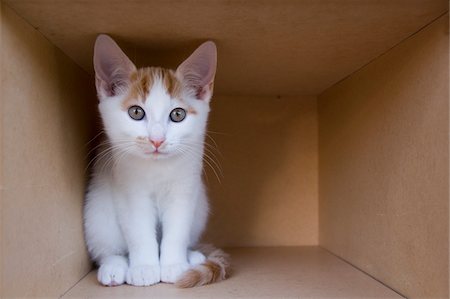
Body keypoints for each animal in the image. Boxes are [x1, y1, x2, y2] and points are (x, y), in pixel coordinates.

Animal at [83, 34, 229, 288]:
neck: (157, 168)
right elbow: (139, 230)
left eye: (178, 114)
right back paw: (113, 267)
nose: (157, 140)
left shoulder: (185, 187)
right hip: (97, 210)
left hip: (200, 206)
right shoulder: (129, 190)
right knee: (105, 246)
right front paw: (144, 268)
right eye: (136, 112)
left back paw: (193, 256)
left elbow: (178, 228)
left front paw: (174, 265)